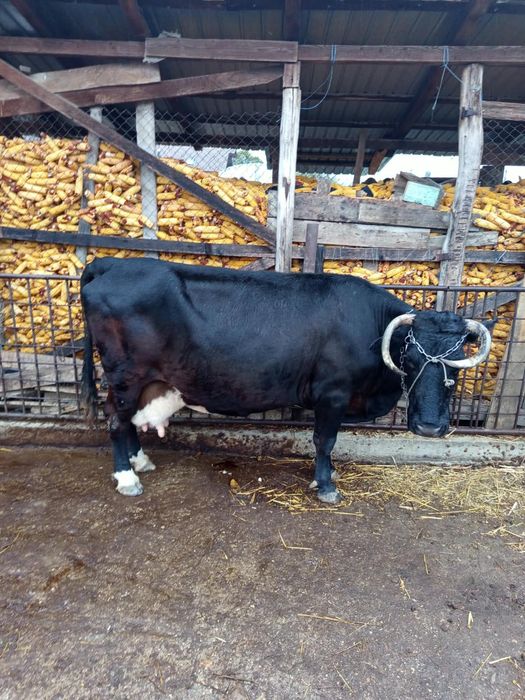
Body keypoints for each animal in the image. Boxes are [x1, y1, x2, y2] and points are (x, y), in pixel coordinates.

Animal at [80, 257, 491, 504]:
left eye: (458, 361)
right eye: (410, 357)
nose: (430, 427)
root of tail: (112, 263)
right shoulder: (332, 393)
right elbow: (325, 440)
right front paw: (326, 485)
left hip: (142, 380)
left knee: (128, 421)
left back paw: (140, 461)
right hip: (125, 375)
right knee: (116, 421)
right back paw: (127, 478)